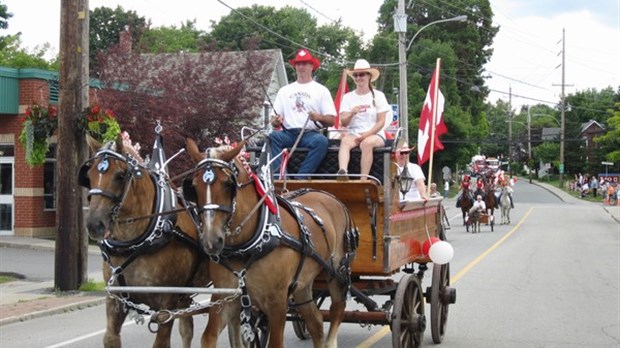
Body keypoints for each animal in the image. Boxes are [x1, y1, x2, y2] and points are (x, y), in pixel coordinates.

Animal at [81, 134, 211, 348]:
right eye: (89, 175)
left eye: (120, 176)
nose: (94, 224)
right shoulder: (116, 300)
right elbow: (110, 338)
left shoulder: (166, 306)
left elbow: (161, 343)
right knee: (187, 329)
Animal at [185, 139, 358, 348]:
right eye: (194, 186)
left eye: (228, 184)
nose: (211, 241)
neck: (250, 246)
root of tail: (328, 195)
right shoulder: (225, 296)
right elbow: (208, 337)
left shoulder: (277, 302)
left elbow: (275, 342)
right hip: (303, 284)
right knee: (316, 323)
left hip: (337, 273)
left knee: (337, 309)